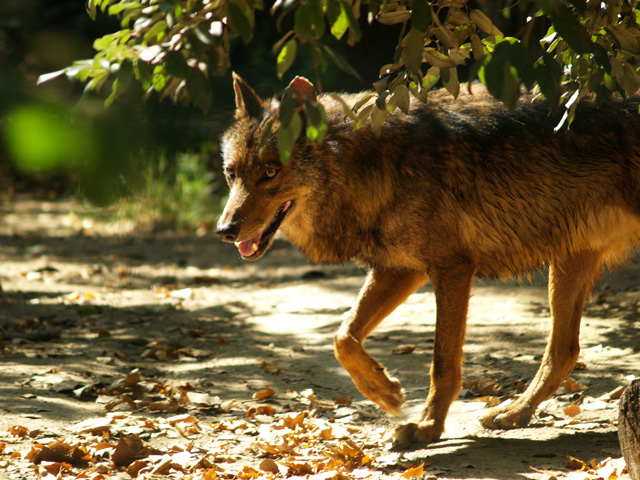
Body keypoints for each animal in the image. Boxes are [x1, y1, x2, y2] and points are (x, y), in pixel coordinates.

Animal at [215, 73, 640, 445]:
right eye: (232, 174)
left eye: (271, 172)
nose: (225, 230)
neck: (371, 163)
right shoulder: (400, 270)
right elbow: (343, 337)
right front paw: (385, 392)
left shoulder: (451, 269)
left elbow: (442, 364)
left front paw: (427, 428)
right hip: (568, 263)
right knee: (564, 352)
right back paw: (513, 413)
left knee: (562, 351)